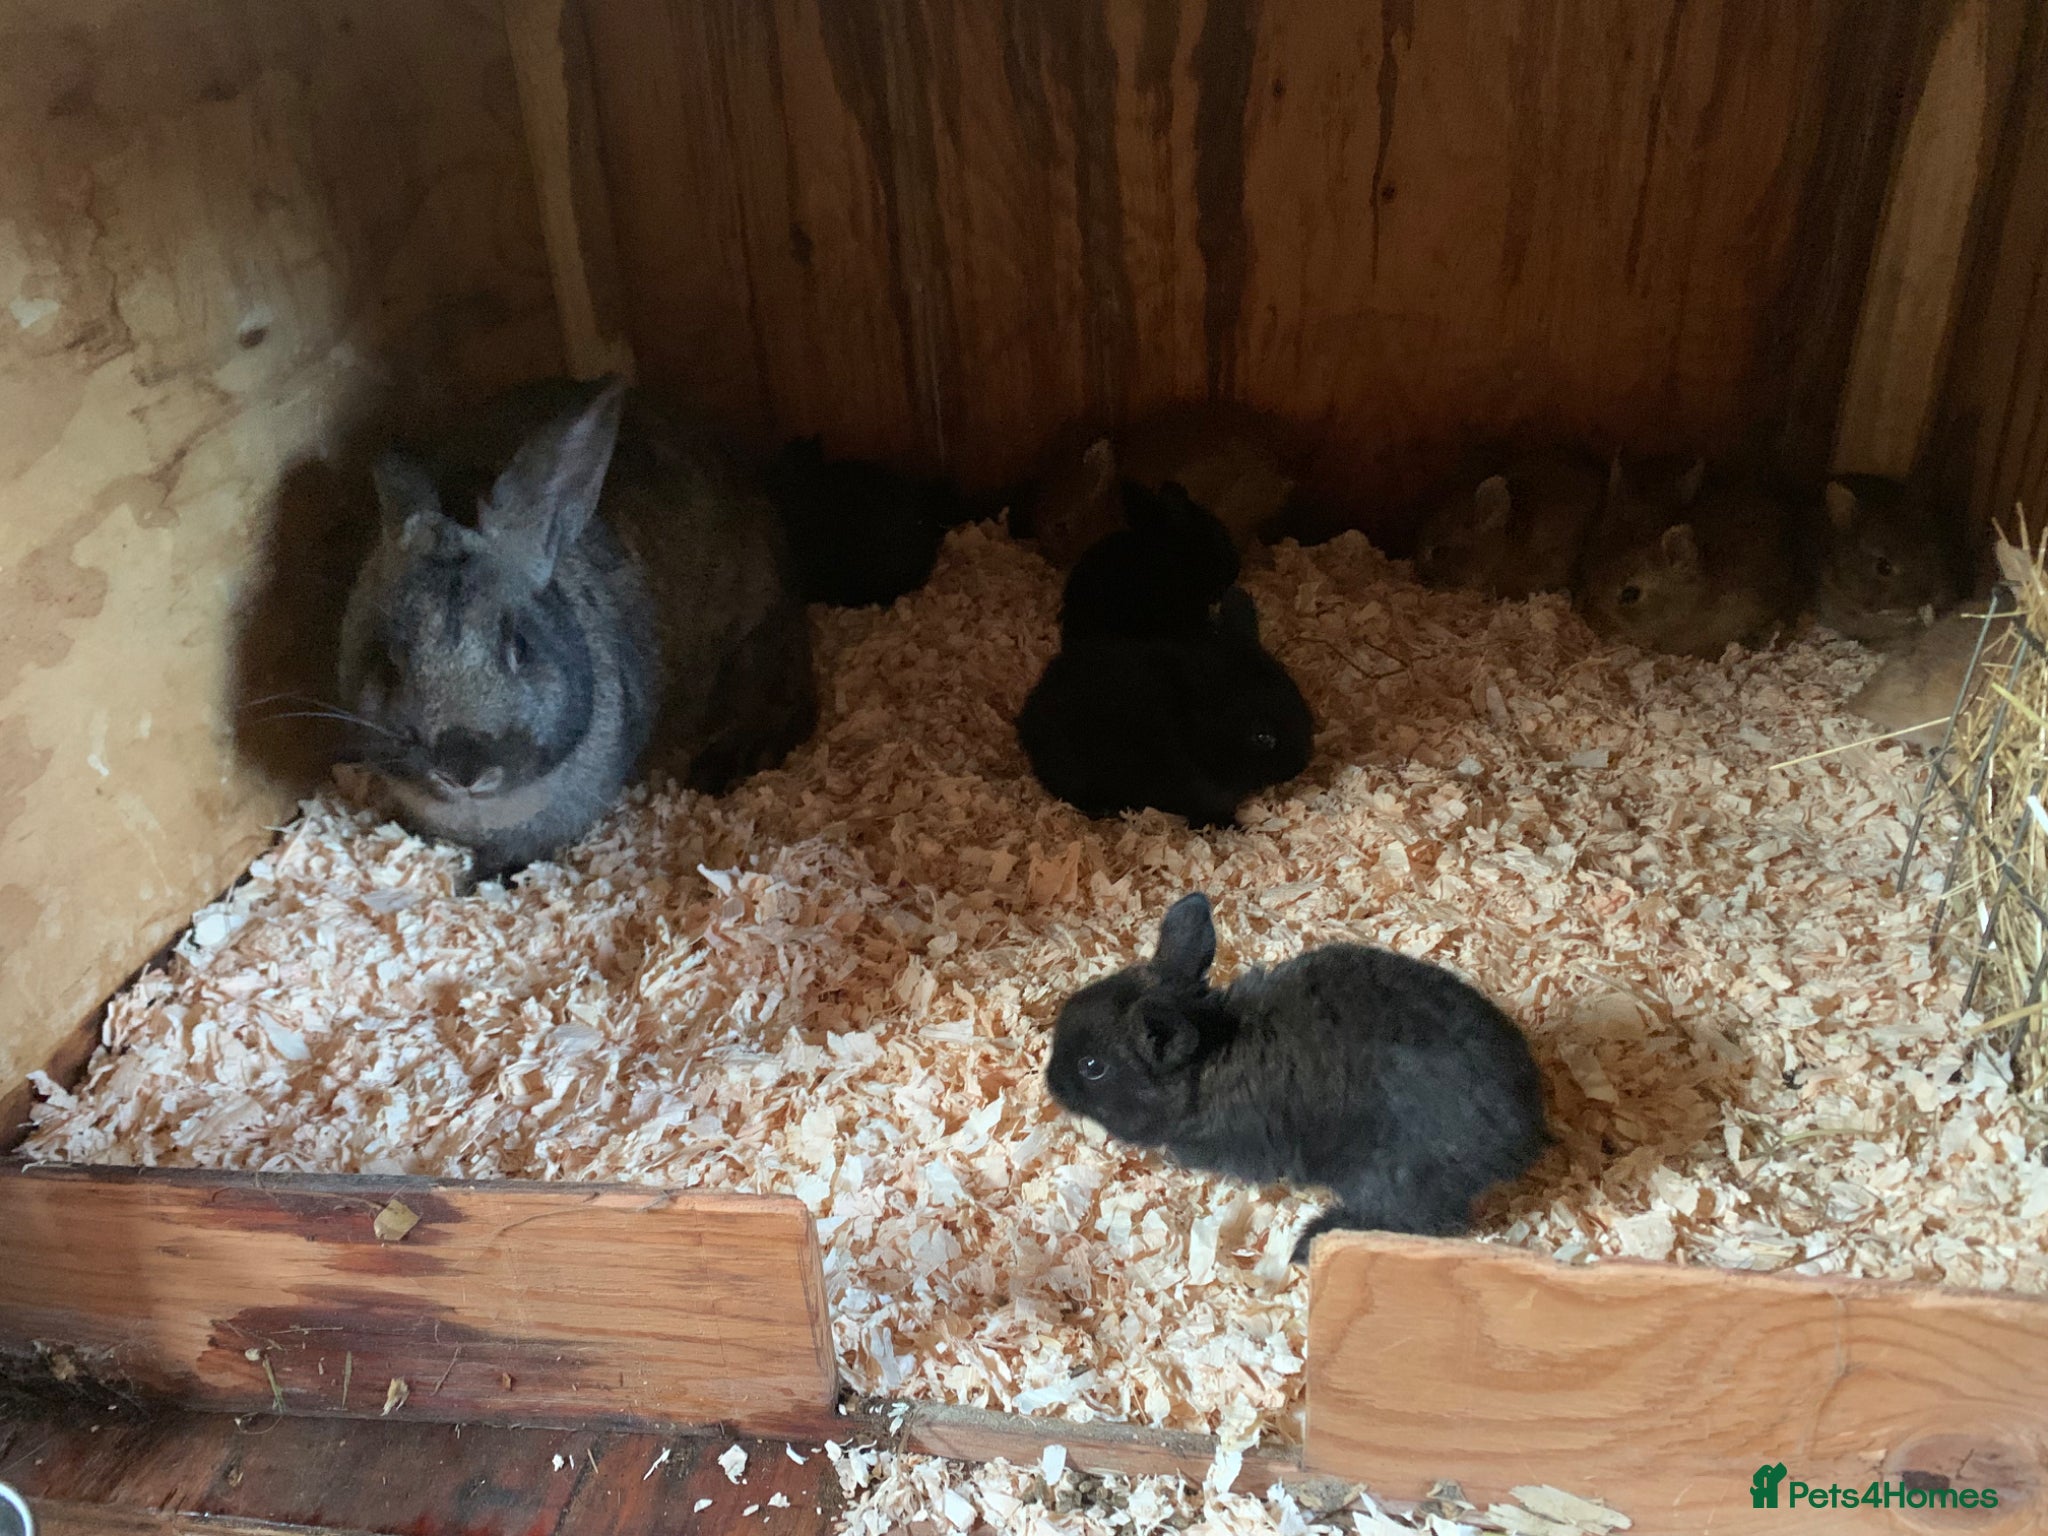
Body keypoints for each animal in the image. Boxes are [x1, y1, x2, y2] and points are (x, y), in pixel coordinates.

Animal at [1045, 892, 1549, 1261]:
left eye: (1092, 1068)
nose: (1050, 1083)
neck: (1207, 1063)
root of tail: (1523, 1136)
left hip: (1391, 1177)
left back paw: (1311, 1241)